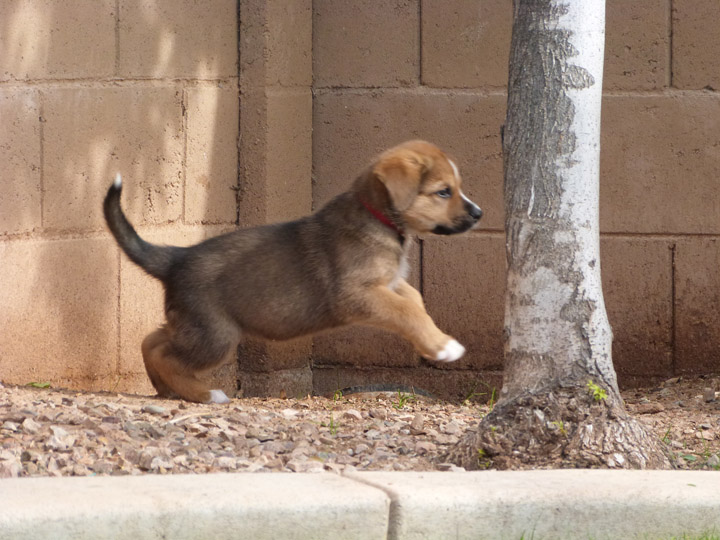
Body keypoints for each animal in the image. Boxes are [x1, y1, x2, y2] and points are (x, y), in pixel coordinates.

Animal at [104, 141, 480, 402]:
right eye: (443, 191)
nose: (479, 214)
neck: (378, 216)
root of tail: (176, 258)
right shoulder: (356, 294)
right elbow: (406, 311)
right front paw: (444, 347)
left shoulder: (388, 283)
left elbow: (414, 301)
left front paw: (434, 339)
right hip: (216, 336)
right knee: (165, 354)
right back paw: (203, 394)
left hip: (192, 327)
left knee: (150, 342)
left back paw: (169, 389)